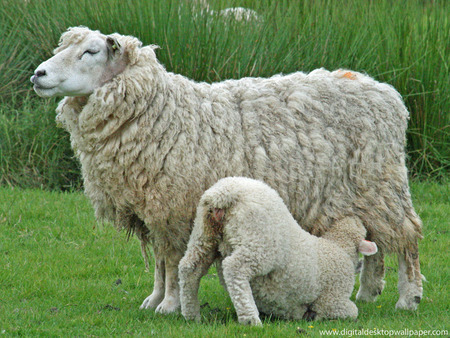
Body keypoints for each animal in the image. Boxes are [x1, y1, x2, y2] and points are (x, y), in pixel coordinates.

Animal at [179, 177, 380, 324]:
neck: (337, 246)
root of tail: (224, 194)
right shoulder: (332, 298)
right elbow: (351, 311)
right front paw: (315, 316)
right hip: (259, 244)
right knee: (234, 268)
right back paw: (250, 319)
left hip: (204, 234)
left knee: (189, 268)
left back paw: (191, 315)